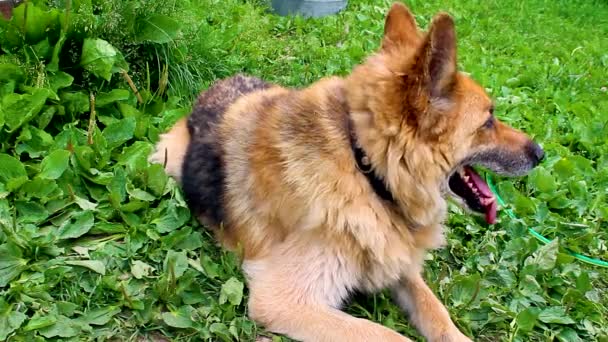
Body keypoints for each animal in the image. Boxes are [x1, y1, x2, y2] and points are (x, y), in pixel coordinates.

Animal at [150, 3, 544, 342]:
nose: (540, 153)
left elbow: (437, 312)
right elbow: (390, 336)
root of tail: (216, 87)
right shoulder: (284, 300)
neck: (367, 170)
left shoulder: (399, 264)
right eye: (488, 121)